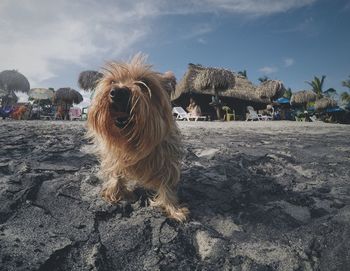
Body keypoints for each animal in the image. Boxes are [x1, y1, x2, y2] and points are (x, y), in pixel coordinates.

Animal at [87, 54, 189, 222]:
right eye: (112, 81)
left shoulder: (166, 158)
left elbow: (166, 182)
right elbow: (116, 171)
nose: (118, 92)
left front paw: (172, 208)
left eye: (144, 83)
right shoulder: (113, 155)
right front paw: (115, 192)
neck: (130, 139)